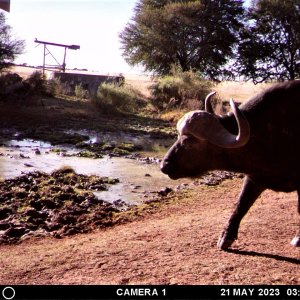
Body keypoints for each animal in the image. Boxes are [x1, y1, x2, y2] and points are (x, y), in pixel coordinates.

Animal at [161, 81, 300, 250]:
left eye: (189, 141)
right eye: (178, 136)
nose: (164, 165)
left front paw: (298, 238)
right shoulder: (255, 178)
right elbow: (240, 205)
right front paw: (225, 237)